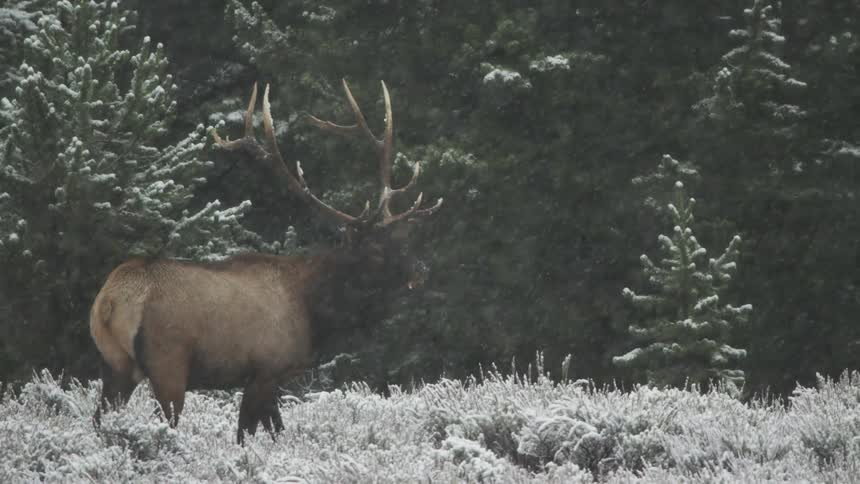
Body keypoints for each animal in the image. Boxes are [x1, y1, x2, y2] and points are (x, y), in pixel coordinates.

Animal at [89, 79, 442, 444]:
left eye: (404, 238)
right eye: (375, 248)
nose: (421, 270)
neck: (314, 312)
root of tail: (110, 301)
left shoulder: (270, 378)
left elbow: (275, 430)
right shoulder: (266, 368)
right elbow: (247, 434)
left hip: (114, 365)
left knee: (98, 421)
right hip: (168, 363)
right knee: (164, 422)